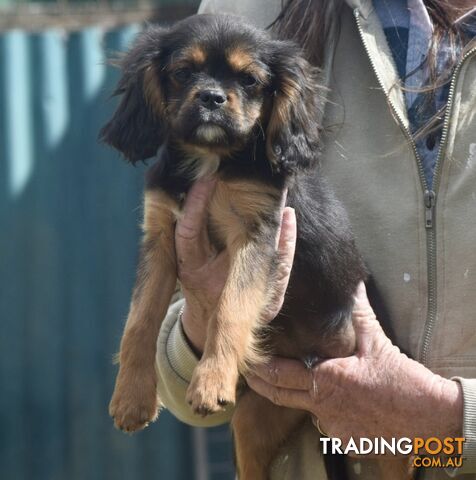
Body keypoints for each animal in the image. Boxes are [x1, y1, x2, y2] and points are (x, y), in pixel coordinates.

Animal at [102, 15, 366, 480]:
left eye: (249, 80)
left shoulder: (258, 235)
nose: (211, 97)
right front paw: (131, 397)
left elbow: (231, 306)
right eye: (183, 72)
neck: (211, 158)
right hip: (255, 418)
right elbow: (139, 319)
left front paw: (210, 382)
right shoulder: (161, 234)